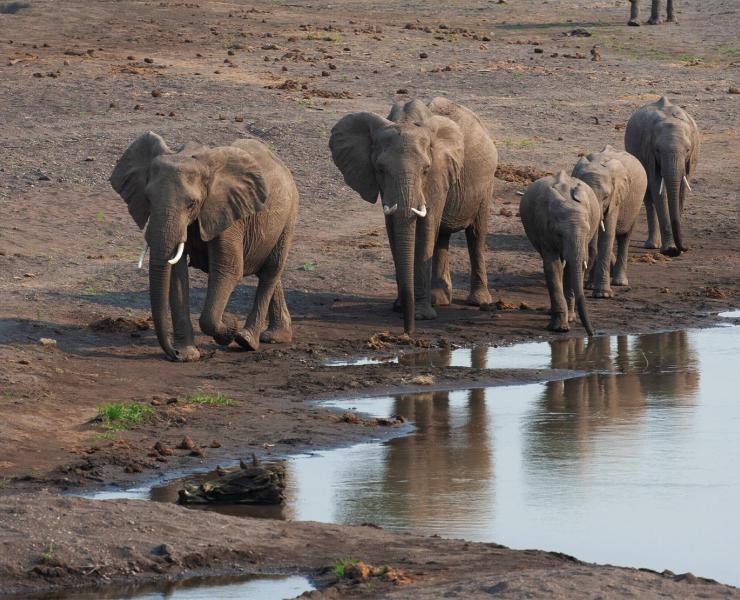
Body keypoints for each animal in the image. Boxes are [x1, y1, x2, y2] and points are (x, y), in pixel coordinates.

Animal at [110, 132, 298, 361]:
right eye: (147, 198)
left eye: (192, 204)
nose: (173, 354)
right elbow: (177, 275)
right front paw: (188, 355)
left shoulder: (227, 213)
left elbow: (228, 270)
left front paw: (229, 326)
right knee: (268, 272)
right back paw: (275, 337)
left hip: (289, 215)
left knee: (271, 269)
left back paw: (246, 340)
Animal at [329, 97, 498, 334]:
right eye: (380, 169)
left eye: (426, 169)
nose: (407, 332)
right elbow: (394, 228)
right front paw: (400, 307)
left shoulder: (438, 173)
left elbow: (426, 228)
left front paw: (421, 315)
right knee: (442, 235)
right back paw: (439, 299)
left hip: (486, 184)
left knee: (476, 234)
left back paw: (479, 301)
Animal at [519, 171, 600, 336]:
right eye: (559, 234)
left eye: (587, 231)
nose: (592, 334)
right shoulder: (543, 228)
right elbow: (552, 267)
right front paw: (560, 328)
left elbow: (573, 267)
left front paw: (569, 320)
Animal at [572, 145, 648, 298]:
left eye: (606, 197)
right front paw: (591, 287)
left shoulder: (616, 198)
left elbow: (607, 235)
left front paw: (603, 294)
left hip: (635, 204)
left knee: (625, 237)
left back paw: (620, 282)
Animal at [624, 96, 699, 256]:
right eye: (658, 150)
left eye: (688, 150)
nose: (685, 248)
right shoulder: (648, 153)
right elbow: (657, 188)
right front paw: (669, 249)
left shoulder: (690, 160)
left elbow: (682, 191)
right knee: (648, 196)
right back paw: (652, 245)